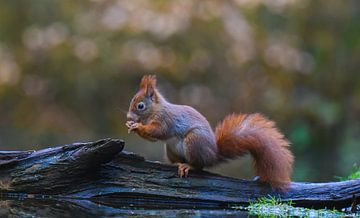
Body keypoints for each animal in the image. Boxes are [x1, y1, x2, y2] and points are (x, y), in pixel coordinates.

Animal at [125, 75, 294, 191]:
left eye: (140, 106)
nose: (128, 117)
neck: (155, 110)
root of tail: (213, 155)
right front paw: (131, 125)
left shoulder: (166, 120)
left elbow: (158, 131)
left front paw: (137, 126)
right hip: (170, 149)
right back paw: (174, 163)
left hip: (194, 141)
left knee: (199, 166)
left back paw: (187, 166)